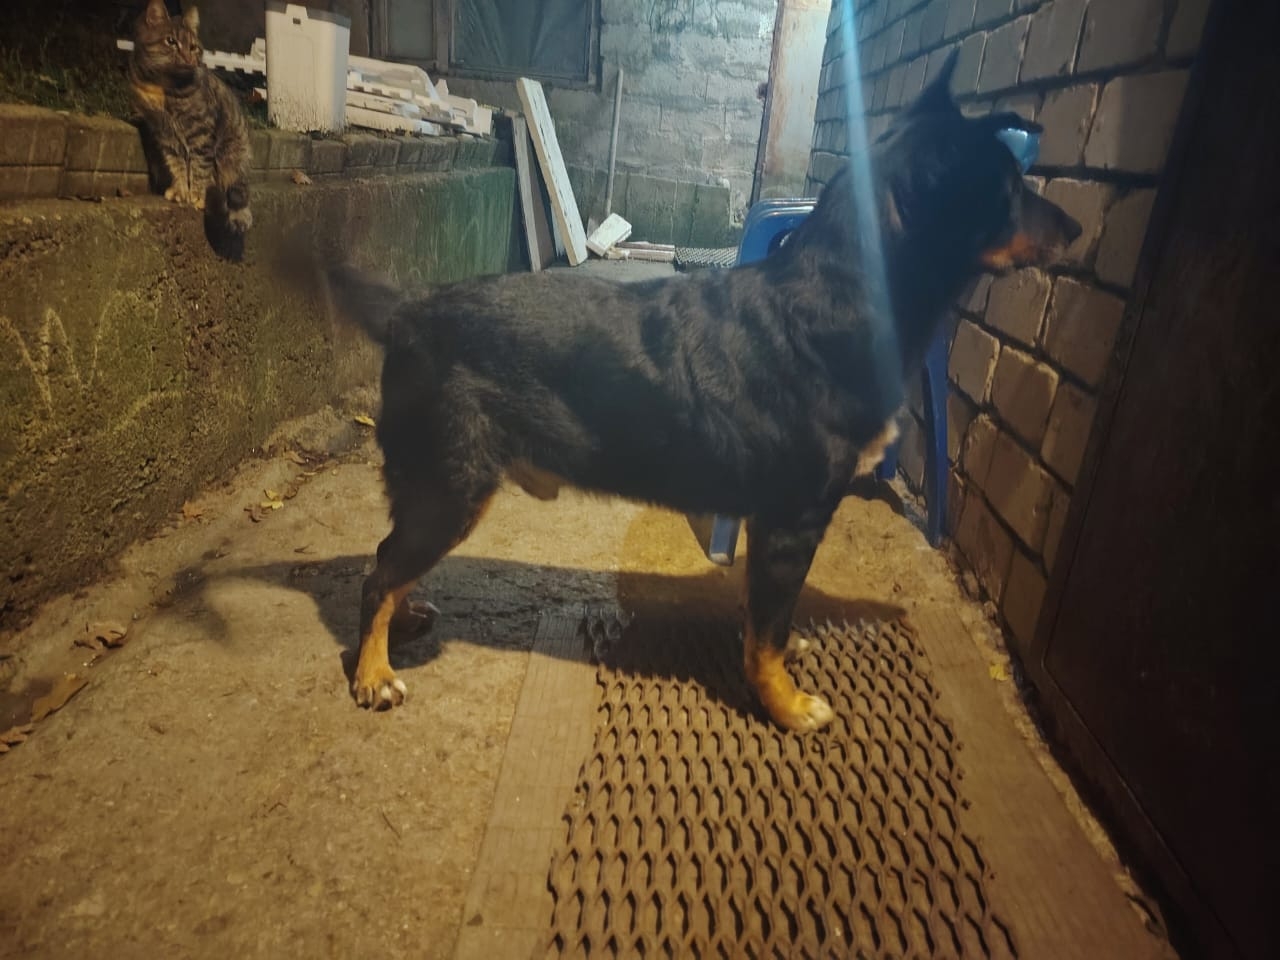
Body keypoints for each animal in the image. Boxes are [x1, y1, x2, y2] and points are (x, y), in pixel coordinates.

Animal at [129, 0, 252, 235]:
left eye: (193, 47)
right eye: (171, 41)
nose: (188, 58)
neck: (161, 85)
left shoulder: (201, 132)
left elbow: (200, 167)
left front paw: (197, 194)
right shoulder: (164, 134)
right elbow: (176, 164)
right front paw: (180, 190)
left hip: (231, 159)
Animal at [313, 52, 1080, 731]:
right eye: (1008, 189)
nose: (1077, 228)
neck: (841, 298)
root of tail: (409, 312)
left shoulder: (774, 527)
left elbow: (768, 617)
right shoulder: (793, 518)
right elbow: (767, 634)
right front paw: (786, 706)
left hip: (437, 485)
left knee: (389, 564)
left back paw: (403, 621)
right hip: (451, 483)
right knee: (380, 572)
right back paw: (373, 673)